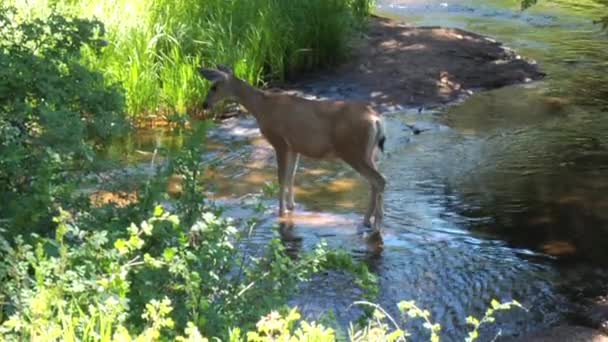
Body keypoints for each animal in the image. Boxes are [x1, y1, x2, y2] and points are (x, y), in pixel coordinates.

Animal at [201, 64, 390, 235]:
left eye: (214, 87)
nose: (204, 104)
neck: (261, 107)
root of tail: (376, 120)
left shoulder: (279, 142)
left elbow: (281, 178)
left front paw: (281, 212)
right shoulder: (295, 146)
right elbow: (291, 176)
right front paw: (291, 206)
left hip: (353, 151)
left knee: (379, 180)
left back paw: (375, 226)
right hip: (369, 153)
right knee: (375, 182)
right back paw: (366, 221)